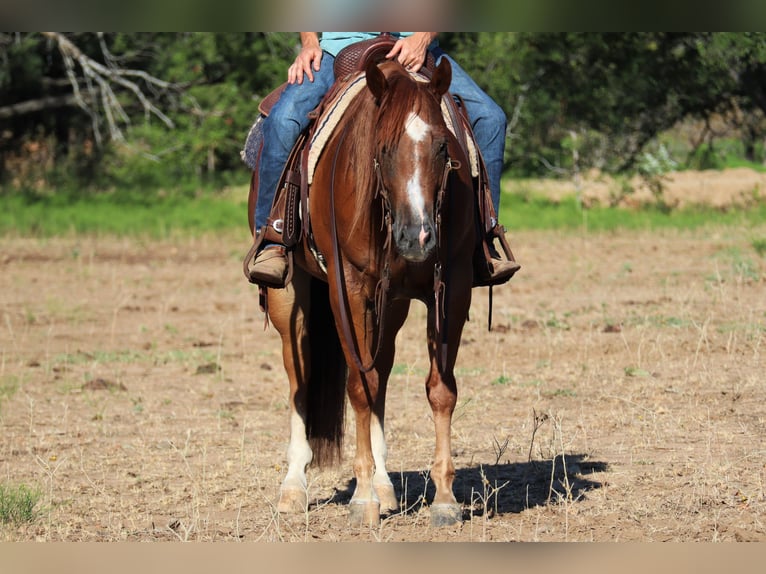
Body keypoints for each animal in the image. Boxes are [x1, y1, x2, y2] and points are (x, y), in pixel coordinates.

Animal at [268, 56, 476, 528]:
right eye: (382, 149)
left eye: (443, 147)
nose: (417, 237)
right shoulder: (349, 289)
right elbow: (359, 387)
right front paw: (362, 499)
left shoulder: (452, 289)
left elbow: (441, 389)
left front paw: (444, 498)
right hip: (287, 302)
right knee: (299, 380)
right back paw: (293, 487)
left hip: (391, 308)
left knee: (381, 369)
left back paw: (384, 485)